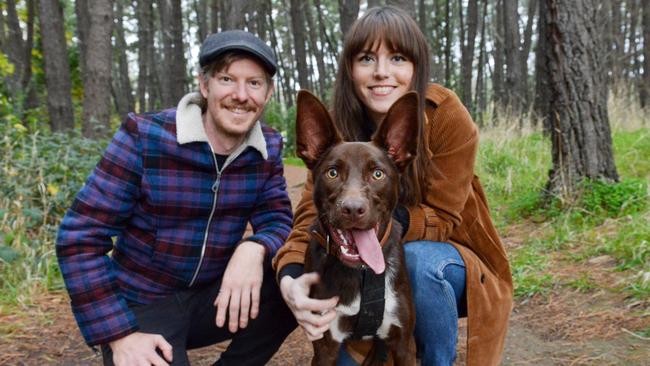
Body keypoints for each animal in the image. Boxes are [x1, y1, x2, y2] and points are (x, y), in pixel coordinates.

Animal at [296, 89, 418, 366]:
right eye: (332, 173)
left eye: (377, 174)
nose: (352, 209)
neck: (361, 271)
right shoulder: (325, 346)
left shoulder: (404, 343)